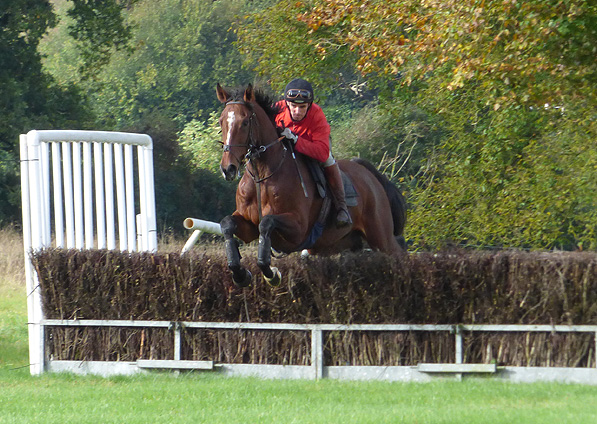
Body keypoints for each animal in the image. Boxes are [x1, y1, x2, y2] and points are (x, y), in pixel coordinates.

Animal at [214, 83, 406, 288]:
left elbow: (266, 223)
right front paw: (240, 273)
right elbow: (227, 224)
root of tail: (368, 173)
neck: (263, 175)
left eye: (244, 123)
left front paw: (271, 273)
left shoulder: (298, 229)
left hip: (381, 236)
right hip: (339, 243)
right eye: (221, 121)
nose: (228, 168)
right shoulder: (248, 225)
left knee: (400, 253)